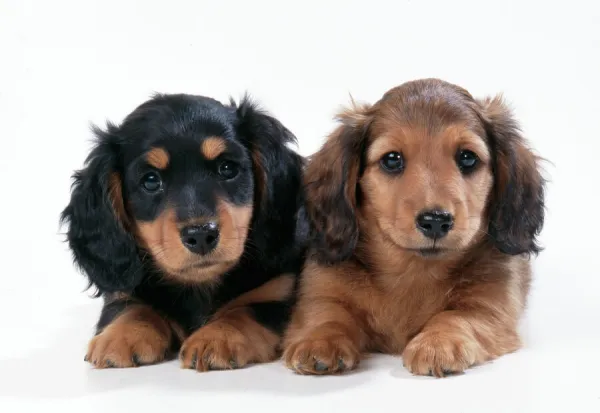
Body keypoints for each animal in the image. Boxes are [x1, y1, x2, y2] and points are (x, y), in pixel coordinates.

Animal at [61, 93, 310, 370]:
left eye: (227, 168)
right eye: (150, 181)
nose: (201, 235)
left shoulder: (280, 289)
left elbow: (247, 309)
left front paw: (217, 336)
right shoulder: (121, 291)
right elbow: (131, 307)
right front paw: (121, 335)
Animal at [284, 78, 548, 376]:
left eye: (468, 158)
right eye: (392, 159)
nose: (435, 221)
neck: (413, 271)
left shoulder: (491, 305)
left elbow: (458, 315)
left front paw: (438, 343)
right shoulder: (322, 290)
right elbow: (327, 314)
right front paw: (321, 341)